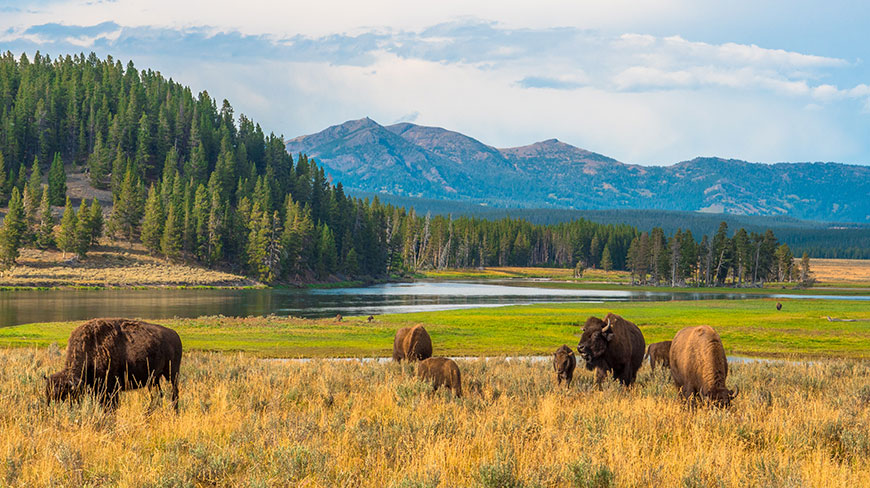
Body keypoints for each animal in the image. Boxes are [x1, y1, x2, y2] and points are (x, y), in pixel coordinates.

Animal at [45, 318, 182, 411]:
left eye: (64, 395)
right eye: (47, 394)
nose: (52, 409)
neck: (91, 348)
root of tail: (175, 334)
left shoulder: (111, 388)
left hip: (172, 374)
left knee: (174, 393)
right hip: (154, 379)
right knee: (157, 395)